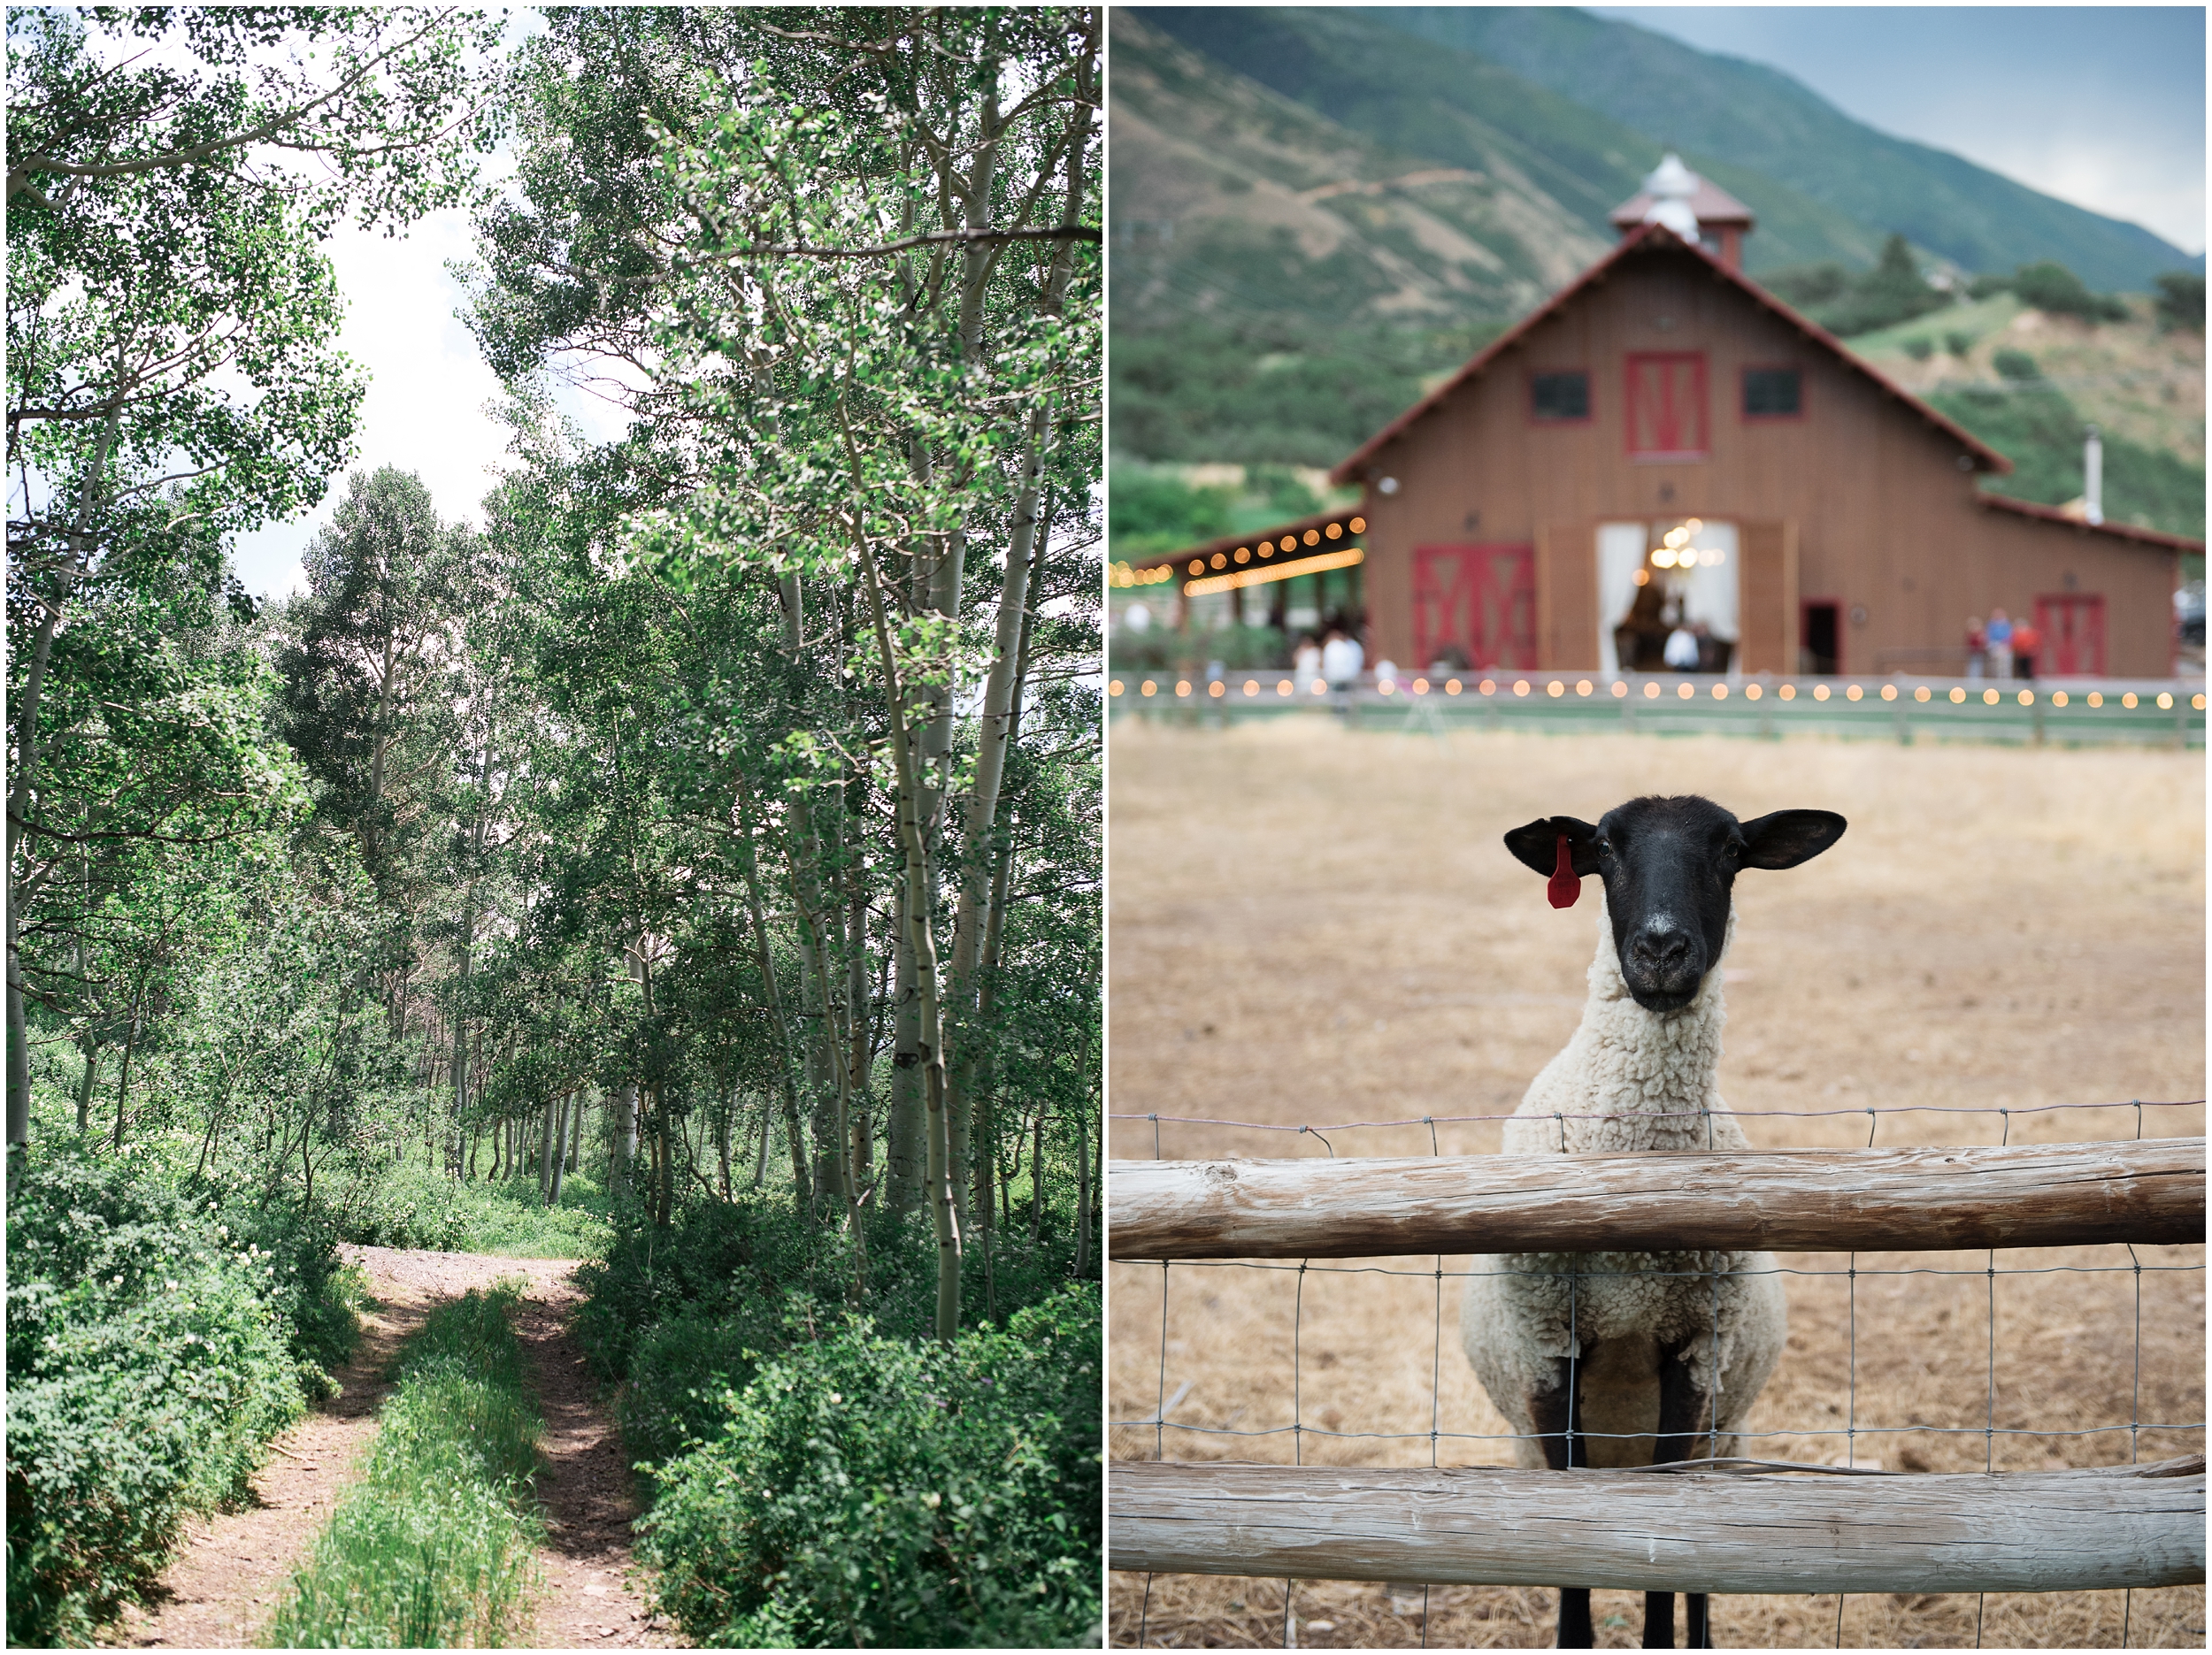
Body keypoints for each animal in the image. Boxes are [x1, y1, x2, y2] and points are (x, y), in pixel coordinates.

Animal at [1460, 796, 1840, 1645]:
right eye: (1603, 845)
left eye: (1732, 850)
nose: (1662, 948)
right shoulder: (1546, 1352)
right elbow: (1572, 1570)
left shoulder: (1695, 1353)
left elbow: (1667, 1564)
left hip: (1723, 1436)